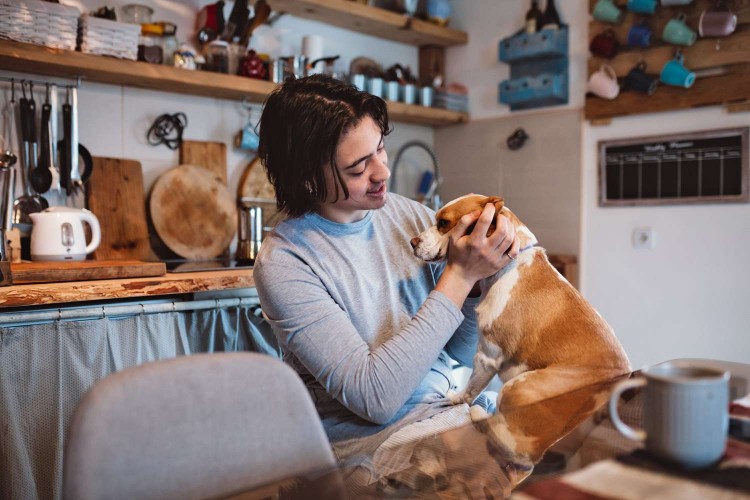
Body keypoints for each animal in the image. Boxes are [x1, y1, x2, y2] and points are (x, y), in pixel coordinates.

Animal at [414, 197, 632, 462]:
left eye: (444, 223)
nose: (413, 242)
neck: (511, 264)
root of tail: (535, 452)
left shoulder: (487, 356)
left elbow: (469, 391)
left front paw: (455, 399)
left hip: (516, 387)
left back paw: (479, 415)